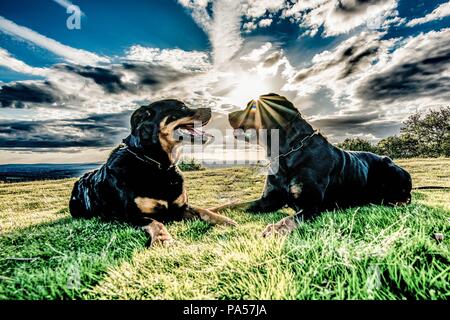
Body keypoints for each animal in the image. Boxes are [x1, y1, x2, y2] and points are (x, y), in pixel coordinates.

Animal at [69, 99, 237, 246]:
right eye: (182, 107)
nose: (211, 109)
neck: (158, 165)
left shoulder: (181, 207)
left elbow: (203, 210)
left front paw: (224, 220)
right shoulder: (132, 215)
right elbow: (156, 223)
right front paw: (163, 239)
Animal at [213, 92, 414, 238]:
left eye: (253, 106)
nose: (229, 114)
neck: (287, 153)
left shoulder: (310, 205)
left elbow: (289, 219)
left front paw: (275, 229)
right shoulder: (268, 200)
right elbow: (234, 205)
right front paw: (213, 212)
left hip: (390, 167)